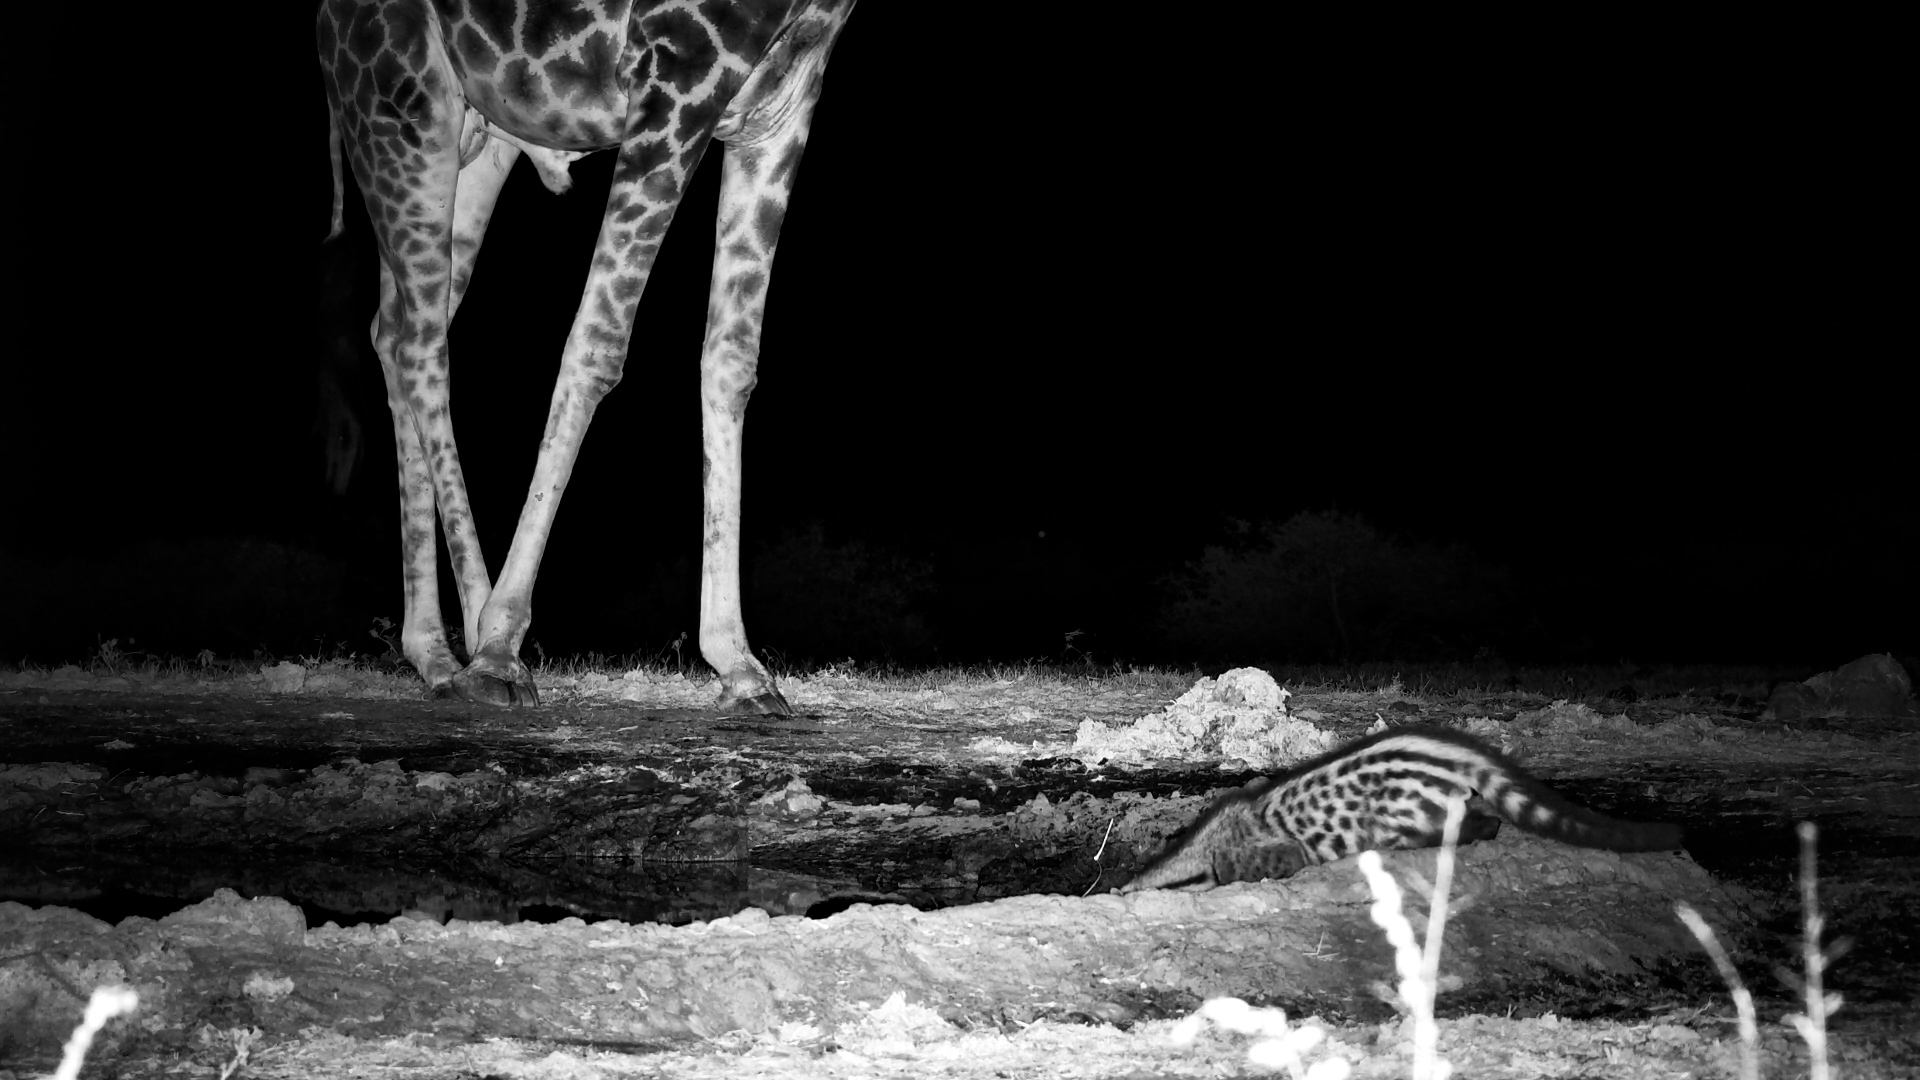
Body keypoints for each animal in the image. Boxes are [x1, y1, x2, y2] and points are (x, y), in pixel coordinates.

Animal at [316, 0, 854, 712]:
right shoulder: (676, 73)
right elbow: (597, 342)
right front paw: (497, 648)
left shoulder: (782, 101)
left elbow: (732, 360)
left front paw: (740, 666)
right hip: (399, 102)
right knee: (421, 341)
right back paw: (479, 645)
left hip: (472, 137)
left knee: (394, 329)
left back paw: (433, 655)